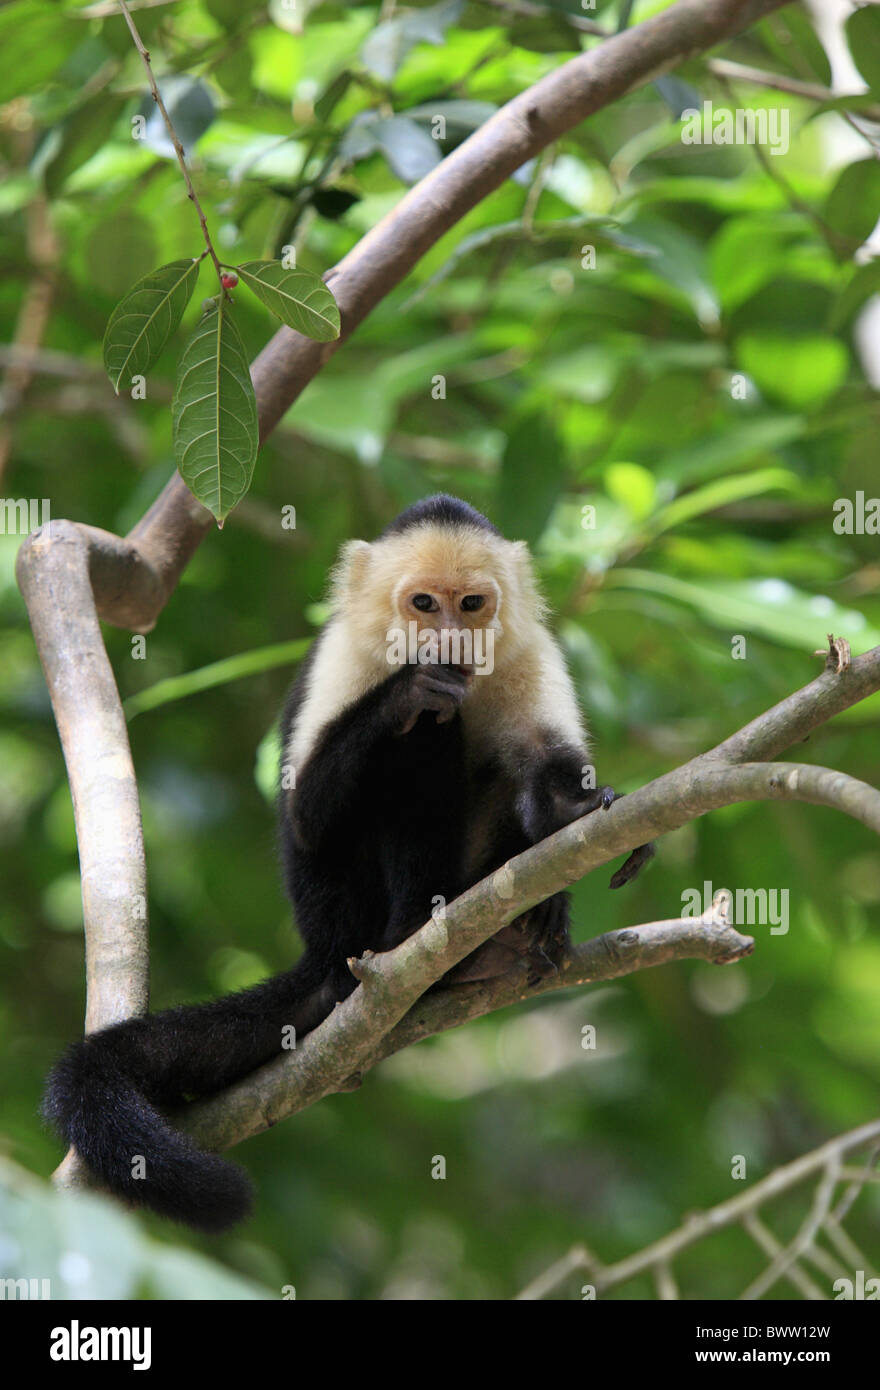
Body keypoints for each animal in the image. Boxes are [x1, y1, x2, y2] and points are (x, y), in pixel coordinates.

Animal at [43, 495, 653, 1232]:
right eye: (424, 603)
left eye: (471, 604)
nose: (450, 641)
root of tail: (327, 952)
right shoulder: (346, 652)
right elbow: (309, 812)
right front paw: (409, 691)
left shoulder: (531, 651)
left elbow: (546, 778)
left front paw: (579, 810)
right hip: (346, 915)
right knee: (420, 745)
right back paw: (423, 934)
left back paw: (521, 927)